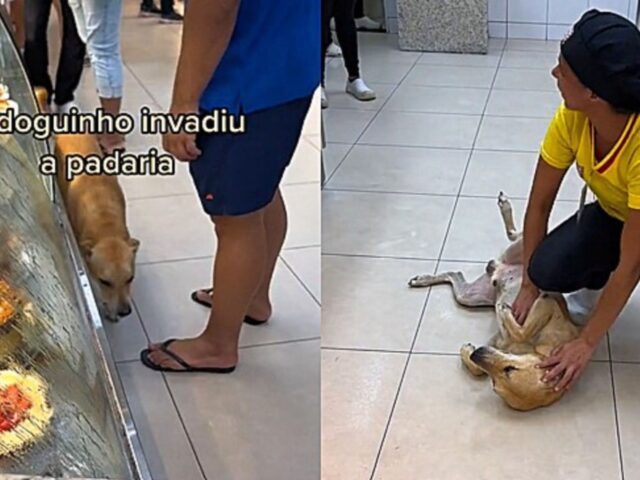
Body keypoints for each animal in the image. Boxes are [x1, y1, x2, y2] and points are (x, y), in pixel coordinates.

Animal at [410, 193, 580, 410]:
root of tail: (501, 266)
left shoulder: (497, 342)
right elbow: (522, 328)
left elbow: (479, 366)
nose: (477, 352)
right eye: (510, 368)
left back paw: (425, 279)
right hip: (526, 247)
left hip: (469, 296)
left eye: (496, 383)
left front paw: (468, 352)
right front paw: (506, 312)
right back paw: (504, 205)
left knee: (455, 274)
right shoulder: (547, 305)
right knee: (516, 233)